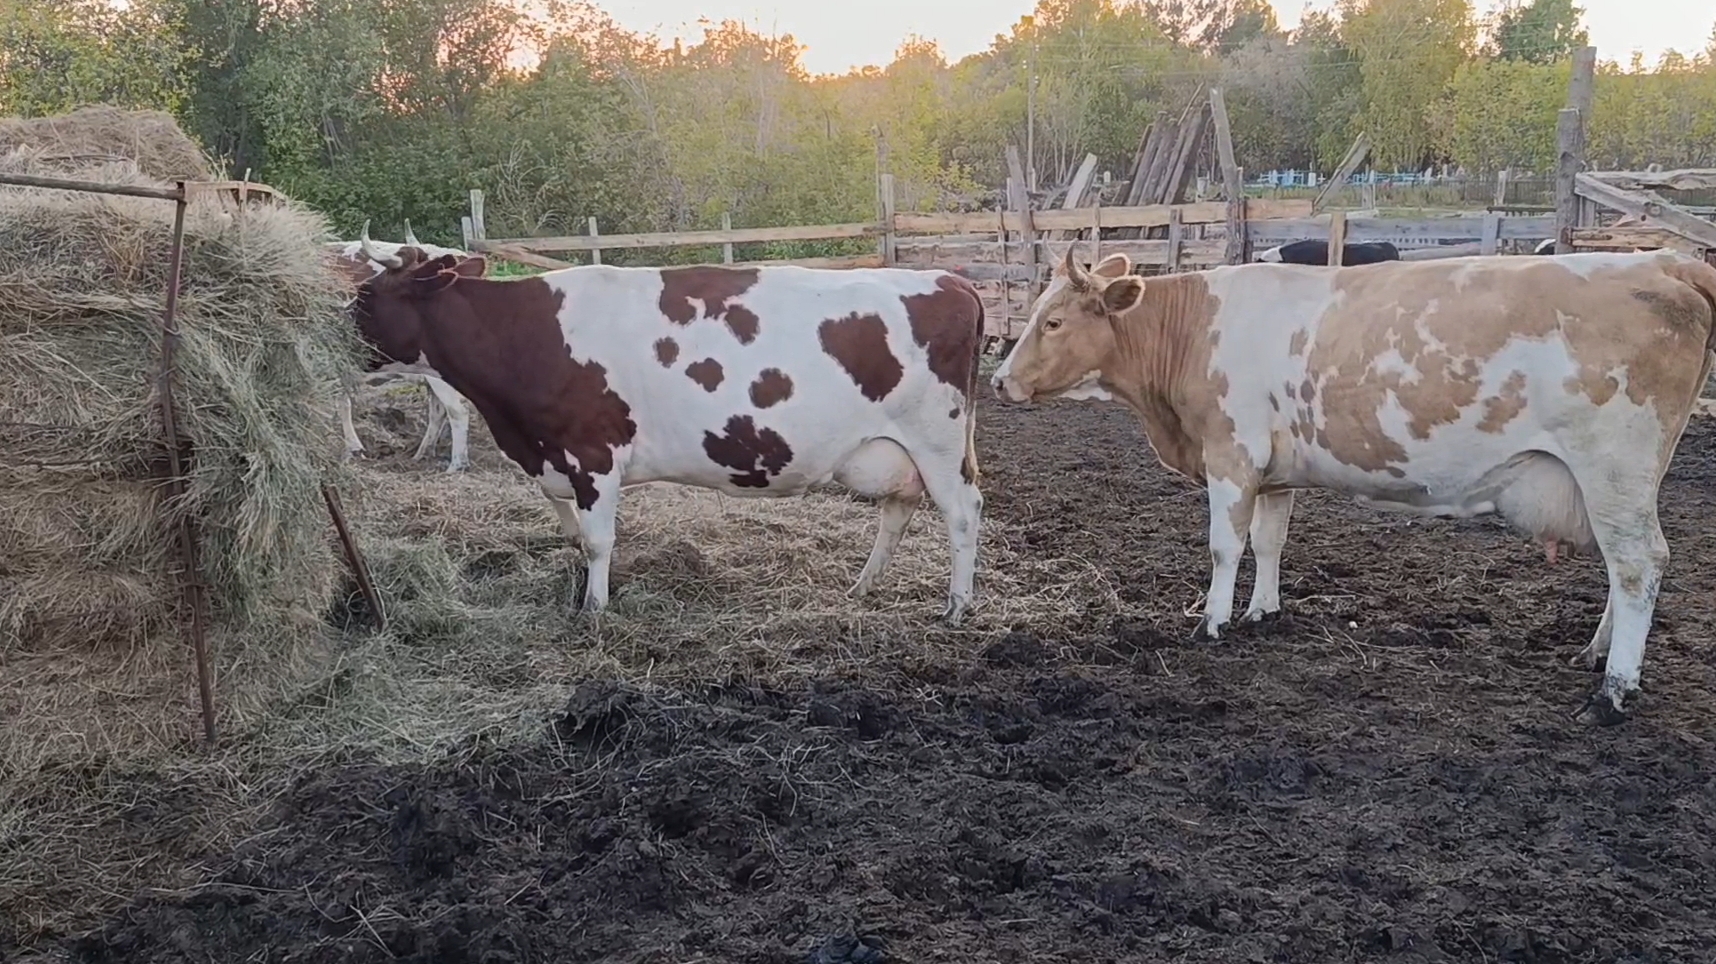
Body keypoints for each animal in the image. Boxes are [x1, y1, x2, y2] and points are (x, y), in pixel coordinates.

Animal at [326, 223, 474, 472]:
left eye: (365, 291)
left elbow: (341, 403)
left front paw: (353, 449)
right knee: (440, 410)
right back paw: (424, 453)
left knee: (457, 409)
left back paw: (455, 465)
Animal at [350, 223, 986, 621]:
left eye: (365, 297)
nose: (330, 329)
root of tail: (951, 280)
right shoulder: (552, 457)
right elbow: (570, 527)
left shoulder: (593, 453)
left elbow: (598, 541)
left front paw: (595, 609)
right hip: (893, 449)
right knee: (898, 509)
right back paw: (863, 584)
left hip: (938, 440)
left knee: (962, 512)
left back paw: (956, 605)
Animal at [991, 245, 1716, 724]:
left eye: (1053, 321)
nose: (998, 380)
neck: (1192, 332)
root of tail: (1664, 262)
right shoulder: (1273, 471)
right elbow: (1270, 541)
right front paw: (1263, 612)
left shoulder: (1232, 454)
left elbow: (1226, 547)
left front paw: (1213, 621)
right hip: (1617, 483)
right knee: (1622, 571)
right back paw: (1595, 654)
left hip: (1613, 467)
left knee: (1639, 564)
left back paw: (1614, 689)